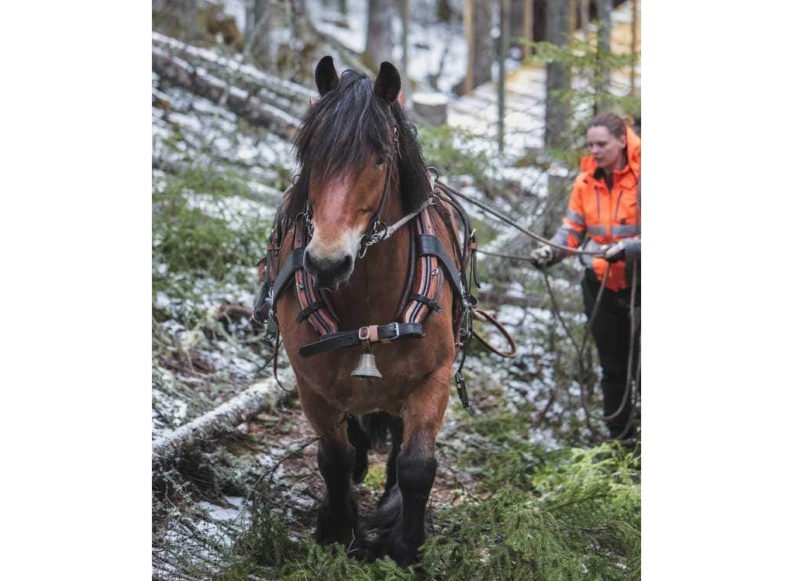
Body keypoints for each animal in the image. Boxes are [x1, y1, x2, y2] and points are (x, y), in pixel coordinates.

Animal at [262, 56, 466, 564]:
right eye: (313, 154)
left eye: (379, 157)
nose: (327, 262)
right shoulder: (311, 383)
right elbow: (332, 459)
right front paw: (339, 529)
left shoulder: (433, 377)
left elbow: (416, 464)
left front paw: (404, 543)